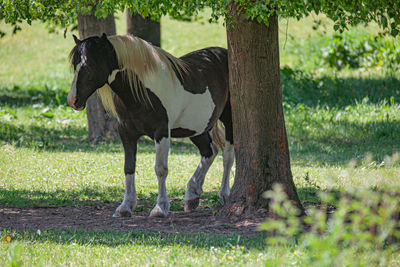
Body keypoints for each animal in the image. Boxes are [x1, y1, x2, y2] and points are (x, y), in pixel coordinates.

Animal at [67, 33, 233, 218]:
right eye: (75, 65)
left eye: (91, 64)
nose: (73, 100)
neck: (141, 92)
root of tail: (222, 53)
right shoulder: (126, 132)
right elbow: (129, 167)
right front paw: (125, 206)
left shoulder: (161, 132)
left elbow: (161, 169)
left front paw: (160, 207)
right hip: (194, 127)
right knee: (209, 152)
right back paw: (192, 195)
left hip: (228, 120)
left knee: (227, 157)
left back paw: (223, 195)